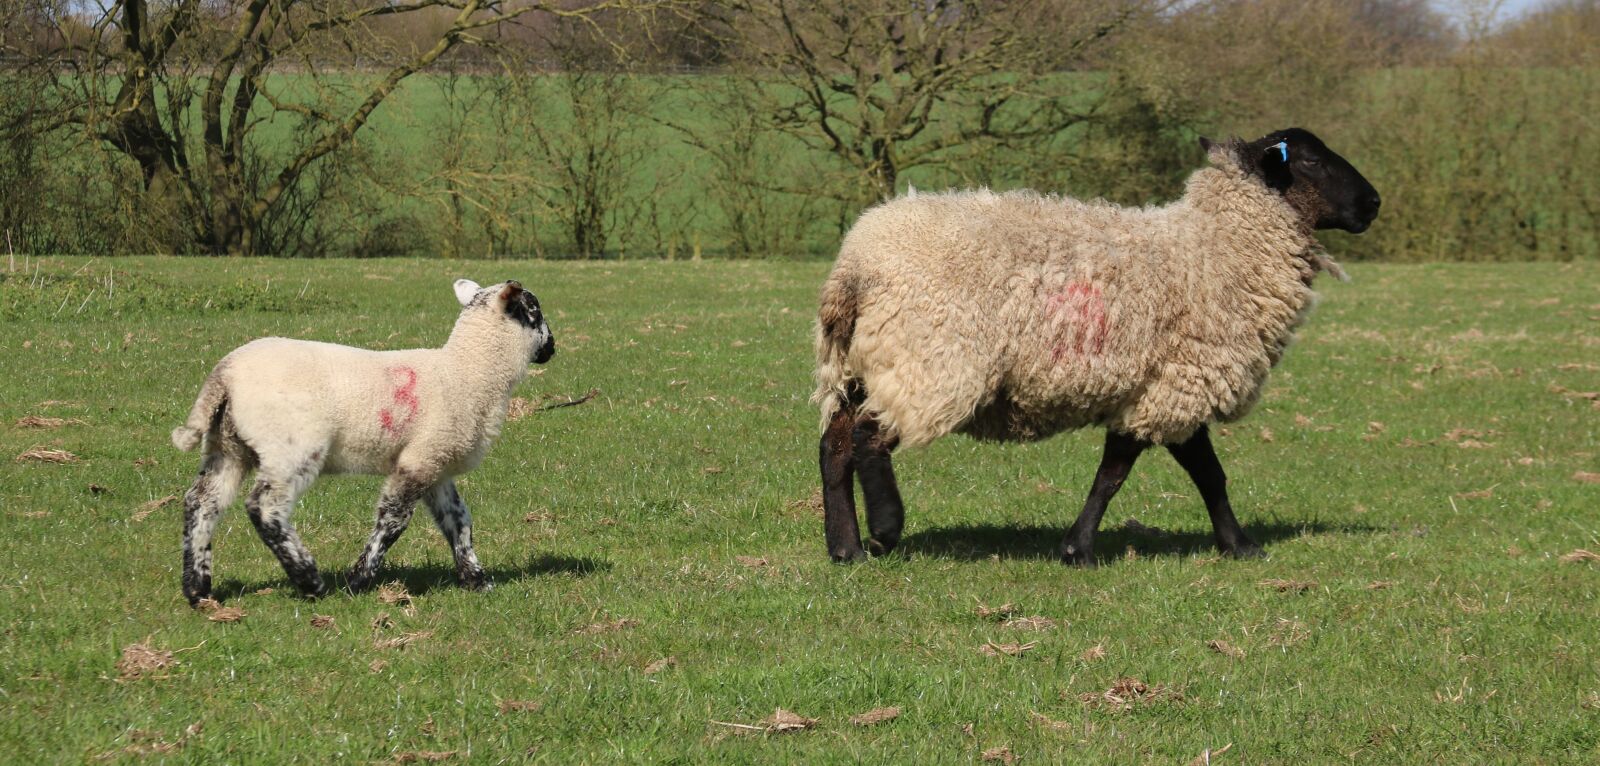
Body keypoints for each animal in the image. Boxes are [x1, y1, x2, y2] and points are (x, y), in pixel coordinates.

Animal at [171, 276, 553, 604]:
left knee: (200, 502)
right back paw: (309, 580)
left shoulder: (434, 460)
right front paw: (358, 579)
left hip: (228, 446)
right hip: (291, 448)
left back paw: (198, 588)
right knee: (264, 508)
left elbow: (458, 521)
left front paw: (476, 579)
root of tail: (225, 373)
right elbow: (394, 520)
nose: (552, 347)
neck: (468, 372)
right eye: (533, 309)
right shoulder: (419, 461)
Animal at [812, 128, 1376, 566]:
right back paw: (886, 528)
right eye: (1309, 160)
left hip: (864, 363)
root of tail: (856, 265)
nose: (1373, 203)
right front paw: (1081, 548)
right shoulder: (1177, 383)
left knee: (834, 445)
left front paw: (1232, 544)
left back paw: (846, 549)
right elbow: (1139, 476)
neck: (1217, 246)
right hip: (928, 361)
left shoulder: (1161, 386)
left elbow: (1179, 473)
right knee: (868, 438)